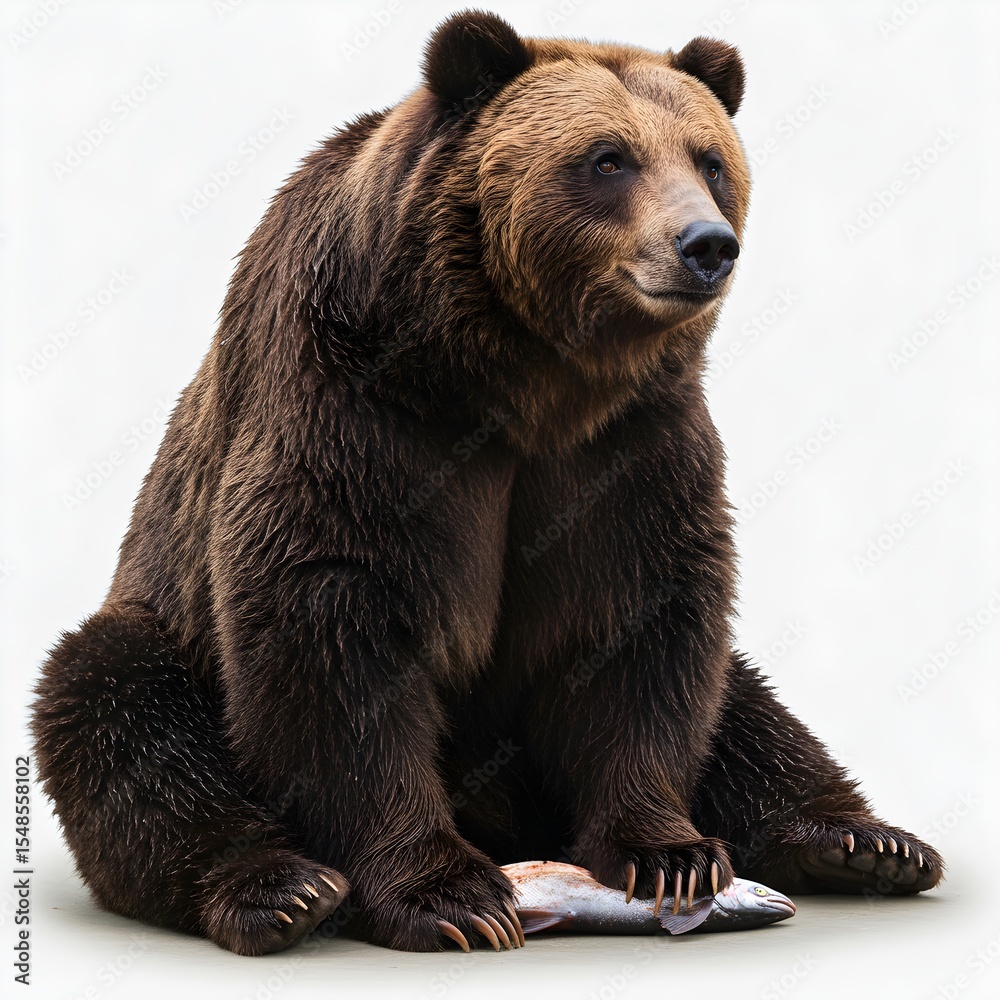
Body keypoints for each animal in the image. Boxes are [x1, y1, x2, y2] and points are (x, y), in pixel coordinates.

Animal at [31, 10, 943, 957]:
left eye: (709, 159)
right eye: (608, 159)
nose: (705, 246)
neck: (522, 375)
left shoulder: (631, 444)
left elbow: (643, 622)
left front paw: (670, 855)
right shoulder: (360, 409)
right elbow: (330, 621)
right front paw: (450, 894)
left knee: (749, 706)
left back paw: (866, 842)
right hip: (166, 636)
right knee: (120, 711)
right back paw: (280, 888)